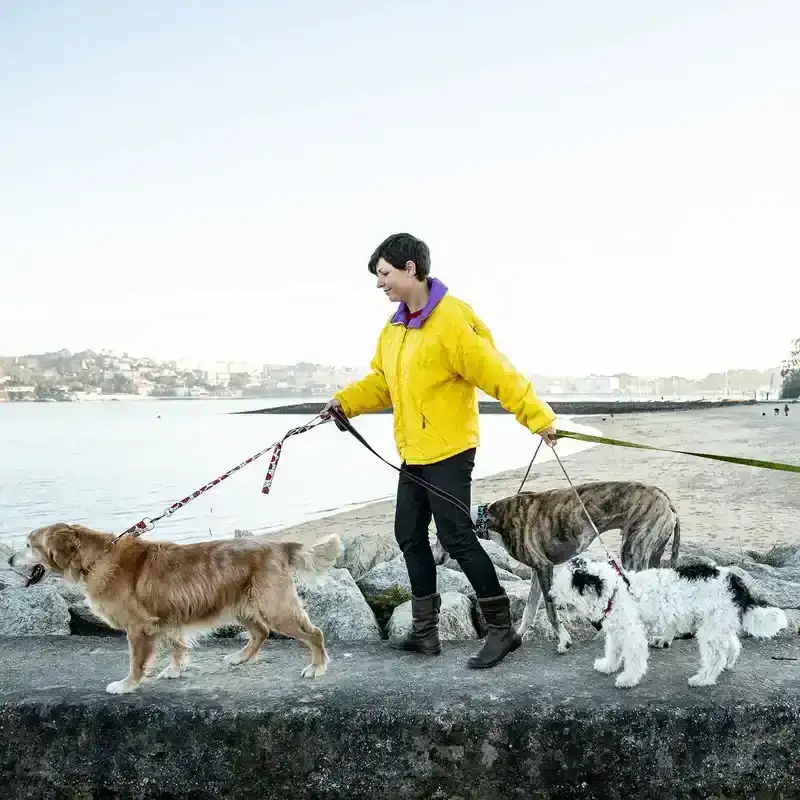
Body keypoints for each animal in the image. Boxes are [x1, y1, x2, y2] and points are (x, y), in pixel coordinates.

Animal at [552, 556, 788, 688]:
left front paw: (628, 679)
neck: (615, 591)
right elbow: (613, 650)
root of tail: (736, 584)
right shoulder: (617, 630)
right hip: (718, 623)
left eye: (564, 586)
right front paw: (608, 666)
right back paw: (728, 664)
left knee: (715, 656)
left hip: (711, 629)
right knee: (732, 644)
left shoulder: (633, 633)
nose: (551, 598)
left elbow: (634, 659)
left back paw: (703, 679)